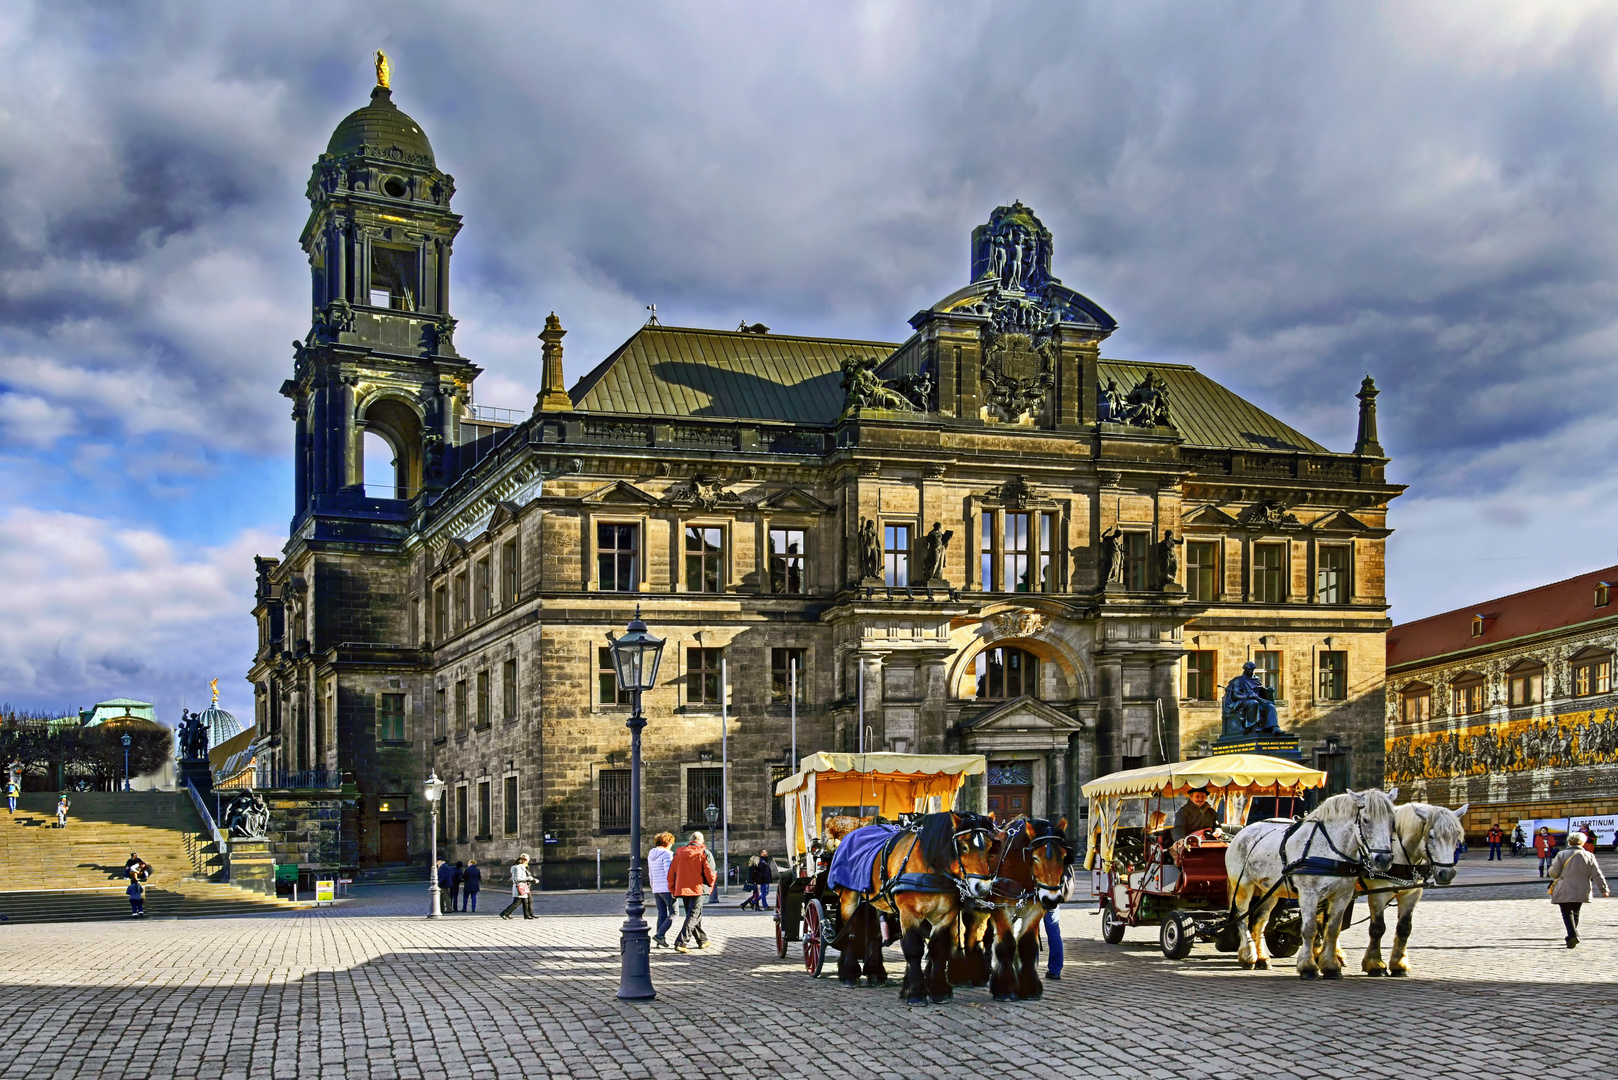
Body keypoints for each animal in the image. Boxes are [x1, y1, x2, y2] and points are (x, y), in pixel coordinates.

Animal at [834, 816, 996, 1010]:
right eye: (963, 846)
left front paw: (939, 991)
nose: (983, 887)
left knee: (875, 933)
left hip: (876, 902)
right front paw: (915, 993)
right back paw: (849, 974)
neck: (930, 867)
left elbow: (938, 949)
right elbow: (914, 949)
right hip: (849, 897)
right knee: (850, 932)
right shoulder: (908, 913)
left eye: (989, 846)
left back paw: (875, 973)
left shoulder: (945, 915)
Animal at [1216, 793, 1397, 977]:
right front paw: (1308, 967)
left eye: (1392, 821)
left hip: (1270, 890)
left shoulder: (1342, 896)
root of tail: (1242, 832)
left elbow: (1332, 929)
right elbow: (1310, 929)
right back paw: (1248, 956)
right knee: (1242, 917)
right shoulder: (1309, 894)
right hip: (1243, 885)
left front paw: (1331, 966)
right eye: (1366, 820)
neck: (1330, 850)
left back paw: (1261, 958)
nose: (1384, 859)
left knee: (1260, 920)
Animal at [1359, 799, 1475, 977]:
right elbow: (1377, 928)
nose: (1447, 873)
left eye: (1456, 836)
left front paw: (1399, 964)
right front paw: (1375, 964)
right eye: (1431, 835)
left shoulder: (1412, 894)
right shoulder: (1377, 894)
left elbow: (1404, 928)